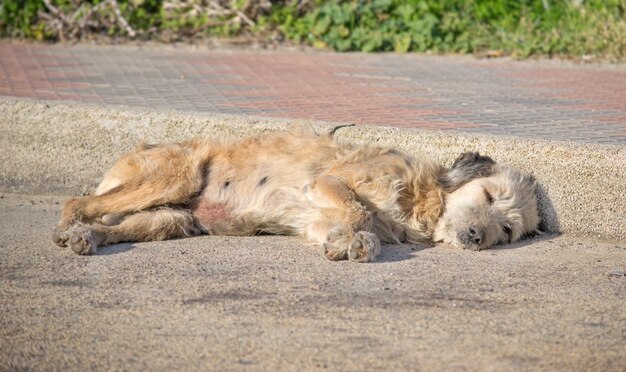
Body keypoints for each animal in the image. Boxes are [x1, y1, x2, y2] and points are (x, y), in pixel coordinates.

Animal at [51, 125, 536, 262]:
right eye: (489, 196)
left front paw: (351, 243)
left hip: (170, 217)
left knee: (115, 225)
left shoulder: (320, 218)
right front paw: (356, 241)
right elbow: (360, 211)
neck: (420, 198)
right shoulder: (328, 182)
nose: (476, 236)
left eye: (507, 231)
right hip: (177, 175)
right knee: (77, 202)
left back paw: (86, 237)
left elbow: (351, 224)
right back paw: (68, 228)